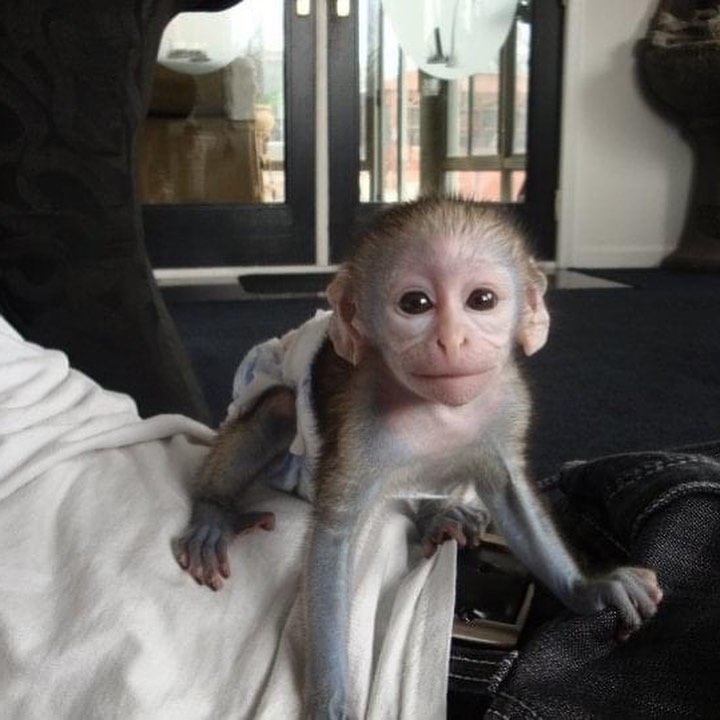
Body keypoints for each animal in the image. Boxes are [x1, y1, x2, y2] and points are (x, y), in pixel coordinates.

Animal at [176, 197, 663, 720]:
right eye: (416, 304)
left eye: (482, 300)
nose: (451, 340)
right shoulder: (361, 417)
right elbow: (334, 539)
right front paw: (331, 700)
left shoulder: (508, 400)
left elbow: (511, 495)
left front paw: (589, 588)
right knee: (280, 408)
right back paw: (213, 515)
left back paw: (440, 515)